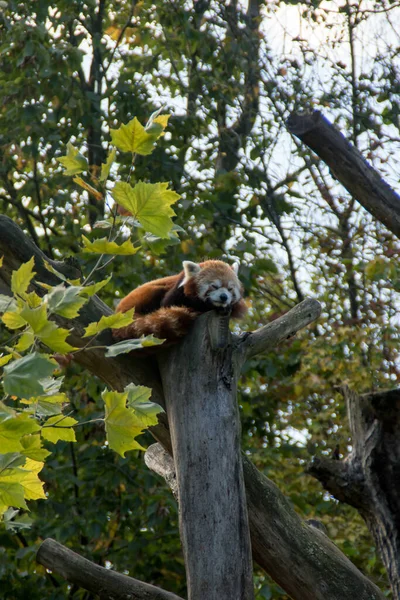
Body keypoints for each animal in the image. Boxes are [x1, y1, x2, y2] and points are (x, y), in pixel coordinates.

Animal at [112, 262, 248, 344]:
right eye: (214, 286)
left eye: (230, 289)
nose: (224, 297)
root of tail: (119, 311)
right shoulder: (176, 292)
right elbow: (167, 304)